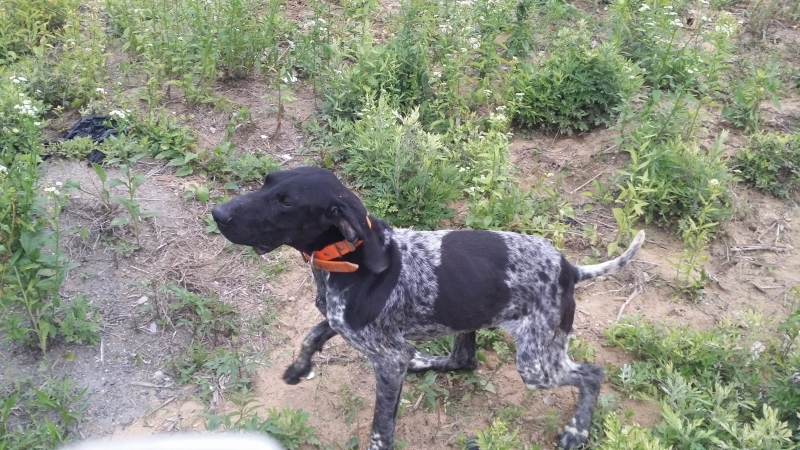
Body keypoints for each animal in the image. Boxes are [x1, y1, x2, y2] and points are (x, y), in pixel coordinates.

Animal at [211, 167, 645, 450]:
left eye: (286, 202)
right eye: (267, 182)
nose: (218, 213)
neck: (346, 257)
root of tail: (569, 268)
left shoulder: (388, 358)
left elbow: (380, 428)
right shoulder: (348, 323)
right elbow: (313, 332)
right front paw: (300, 367)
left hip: (536, 363)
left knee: (591, 374)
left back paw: (577, 431)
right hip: (474, 324)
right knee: (463, 360)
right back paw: (424, 363)